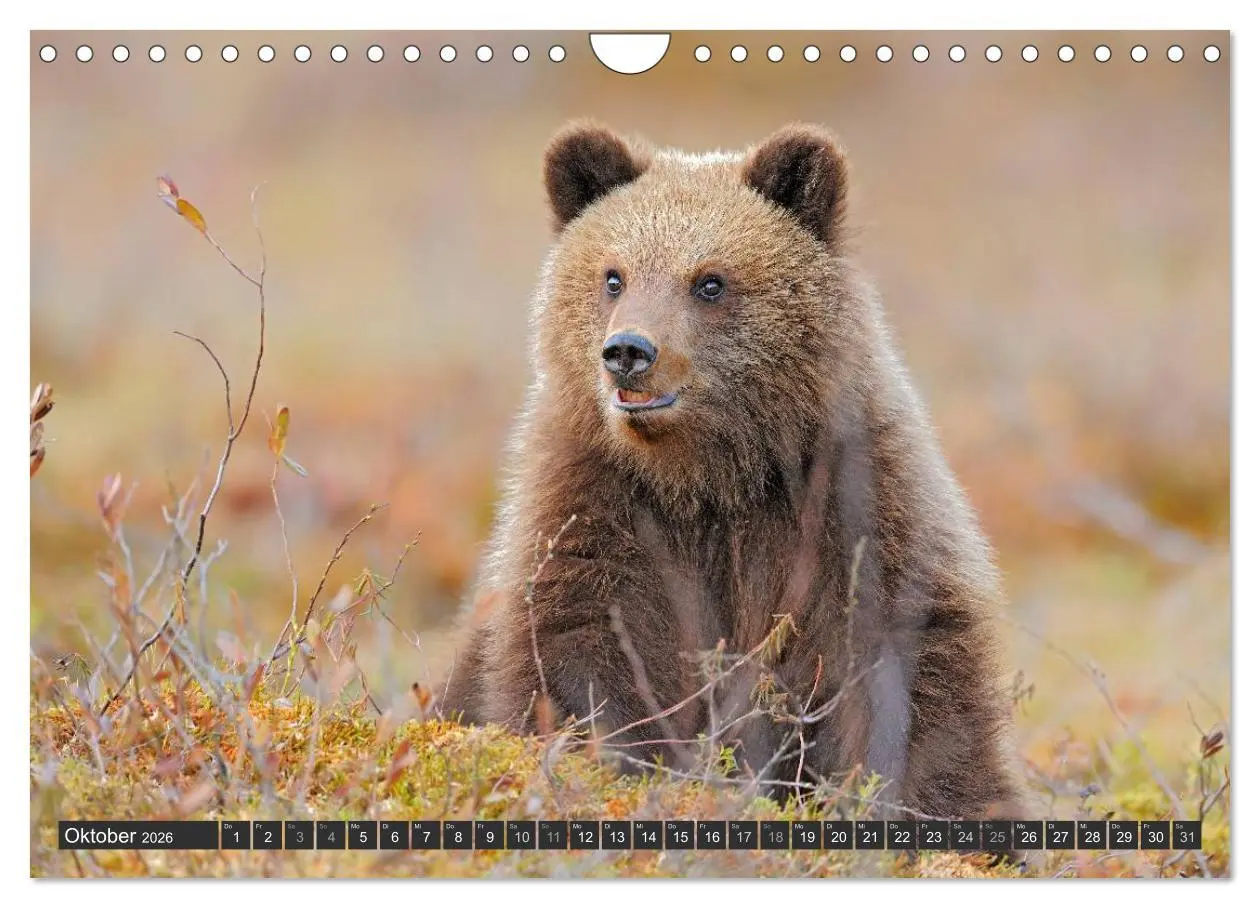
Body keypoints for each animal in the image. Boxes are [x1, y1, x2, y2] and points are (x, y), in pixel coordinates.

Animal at [442, 120, 1027, 824]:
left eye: (710, 281)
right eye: (613, 275)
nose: (628, 351)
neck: (711, 479)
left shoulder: (851, 508)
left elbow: (905, 674)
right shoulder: (597, 504)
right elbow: (578, 651)